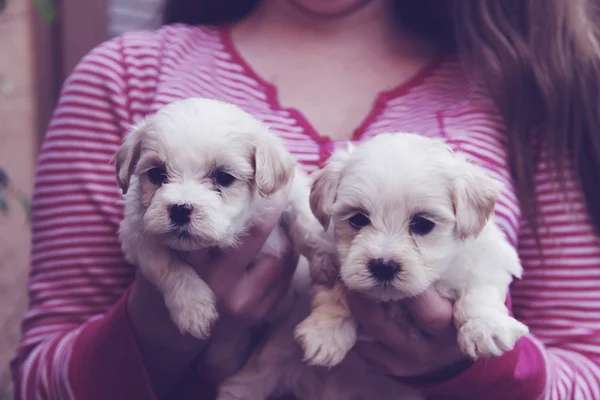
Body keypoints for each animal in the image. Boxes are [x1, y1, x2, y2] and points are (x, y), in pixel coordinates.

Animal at [115, 97, 336, 340]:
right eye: (155, 174)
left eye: (223, 177)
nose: (180, 210)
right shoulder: (136, 232)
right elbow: (167, 265)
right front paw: (192, 307)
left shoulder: (288, 193)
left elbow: (305, 221)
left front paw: (324, 258)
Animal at [296, 134, 528, 368]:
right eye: (358, 219)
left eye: (423, 224)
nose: (383, 266)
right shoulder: (328, 257)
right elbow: (332, 292)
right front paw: (325, 331)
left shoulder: (488, 255)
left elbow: (478, 287)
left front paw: (485, 328)